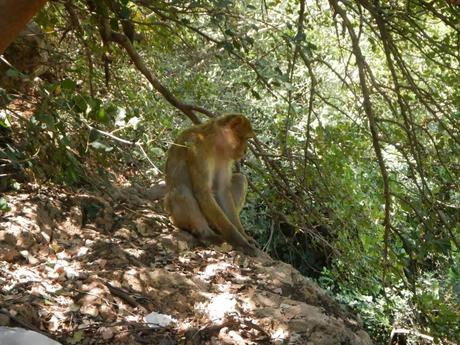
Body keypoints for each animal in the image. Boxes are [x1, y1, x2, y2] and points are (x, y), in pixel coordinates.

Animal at [165, 114, 258, 254]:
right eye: (245, 138)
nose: (245, 151)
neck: (215, 143)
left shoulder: (226, 157)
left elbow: (222, 190)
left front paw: (243, 236)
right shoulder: (196, 149)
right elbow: (203, 192)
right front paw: (240, 242)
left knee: (240, 179)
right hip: (175, 217)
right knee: (181, 190)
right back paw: (206, 235)